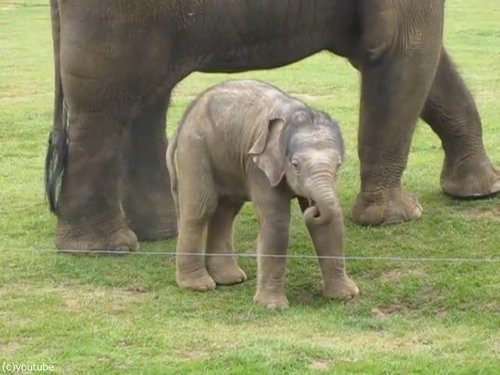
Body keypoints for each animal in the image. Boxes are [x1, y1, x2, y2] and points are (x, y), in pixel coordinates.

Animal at [45, 1, 498, 253]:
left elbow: (427, 61)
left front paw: (482, 190)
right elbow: (403, 45)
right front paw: (395, 218)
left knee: (146, 99)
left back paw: (161, 230)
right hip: (114, 17)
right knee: (107, 107)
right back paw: (104, 247)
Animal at [168, 80, 360, 308]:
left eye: (338, 164)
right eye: (295, 165)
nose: (313, 207)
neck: (297, 114)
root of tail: (184, 119)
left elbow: (330, 221)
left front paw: (346, 295)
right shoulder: (259, 165)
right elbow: (277, 221)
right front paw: (273, 306)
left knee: (226, 211)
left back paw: (230, 279)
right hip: (195, 147)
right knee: (201, 208)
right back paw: (200, 285)